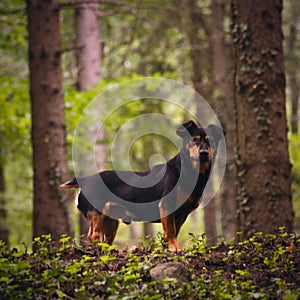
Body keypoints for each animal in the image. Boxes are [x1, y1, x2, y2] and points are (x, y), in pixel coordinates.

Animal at [61, 119, 225, 251]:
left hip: (111, 222)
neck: (188, 172)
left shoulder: (182, 214)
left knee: (105, 240)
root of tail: (85, 179)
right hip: (97, 214)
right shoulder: (166, 206)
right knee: (92, 236)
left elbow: (174, 231)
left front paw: (169, 247)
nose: (203, 153)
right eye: (194, 140)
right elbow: (171, 231)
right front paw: (174, 248)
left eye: (211, 141)